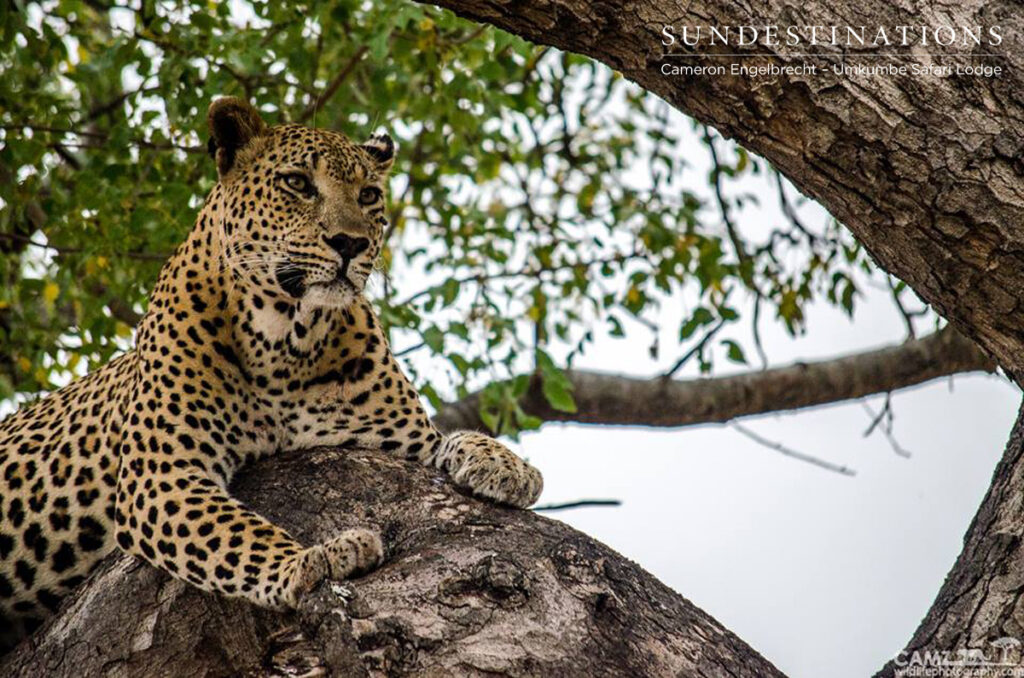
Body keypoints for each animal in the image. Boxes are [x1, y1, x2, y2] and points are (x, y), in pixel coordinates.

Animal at [0, 97, 543, 653]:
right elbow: (233, 534)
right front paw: (315, 560)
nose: (350, 243)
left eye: (369, 195)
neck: (288, 339)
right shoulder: (161, 473)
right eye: (298, 183)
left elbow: (444, 438)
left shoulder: (397, 437)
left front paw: (508, 466)